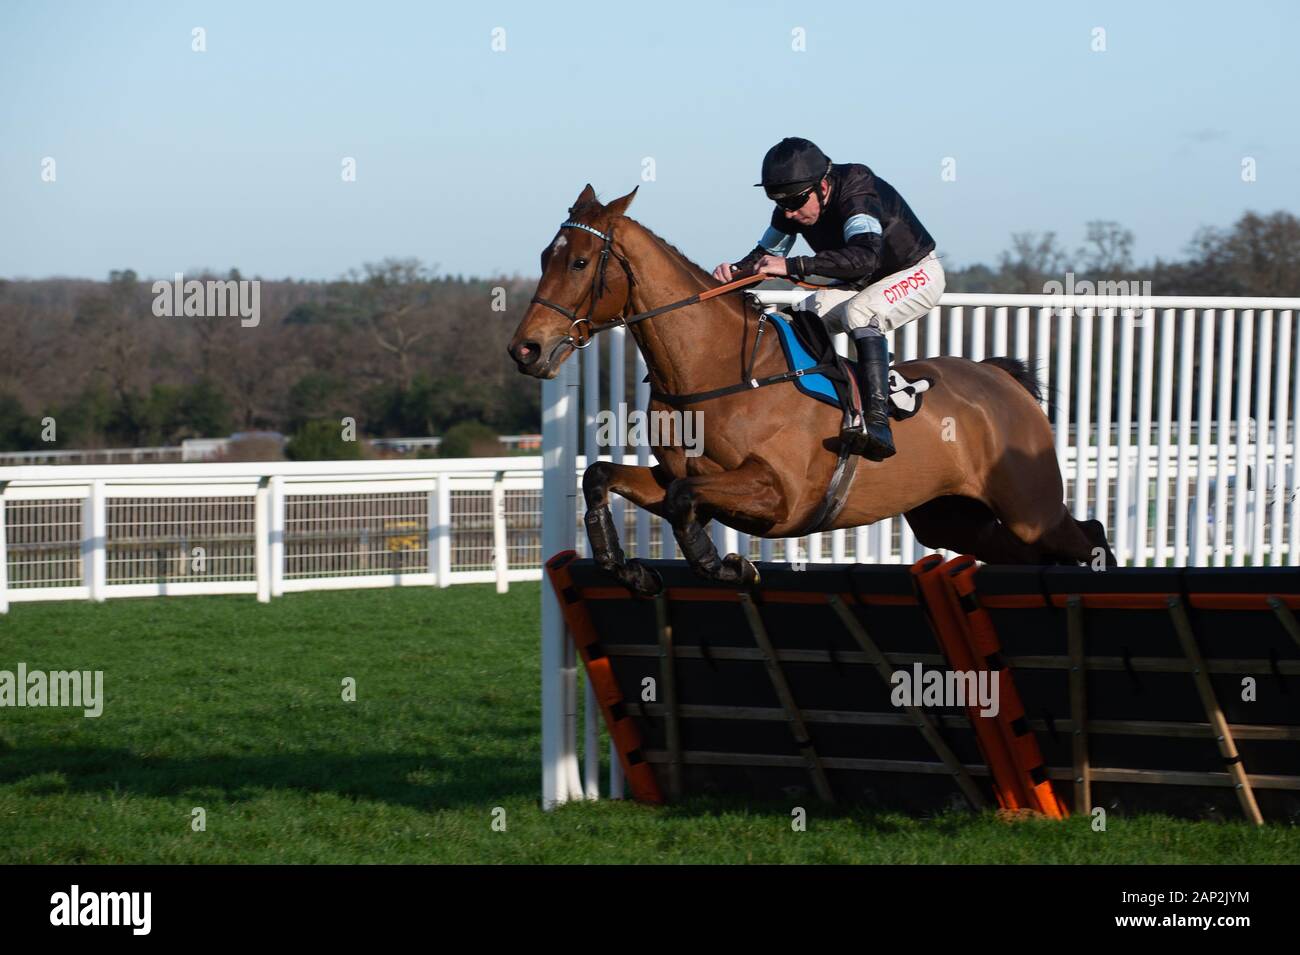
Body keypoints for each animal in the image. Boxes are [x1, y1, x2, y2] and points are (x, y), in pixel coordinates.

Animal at [506, 183, 1118, 595]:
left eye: (580, 261)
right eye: (543, 257)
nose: (526, 349)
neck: (718, 372)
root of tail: (1000, 380)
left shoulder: (780, 494)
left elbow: (684, 503)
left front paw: (722, 563)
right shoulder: (675, 474)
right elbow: (603, 476)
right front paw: (624, 565)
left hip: (1029, 506)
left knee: (1087, 533)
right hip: (954, 516)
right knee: (1034, 549)